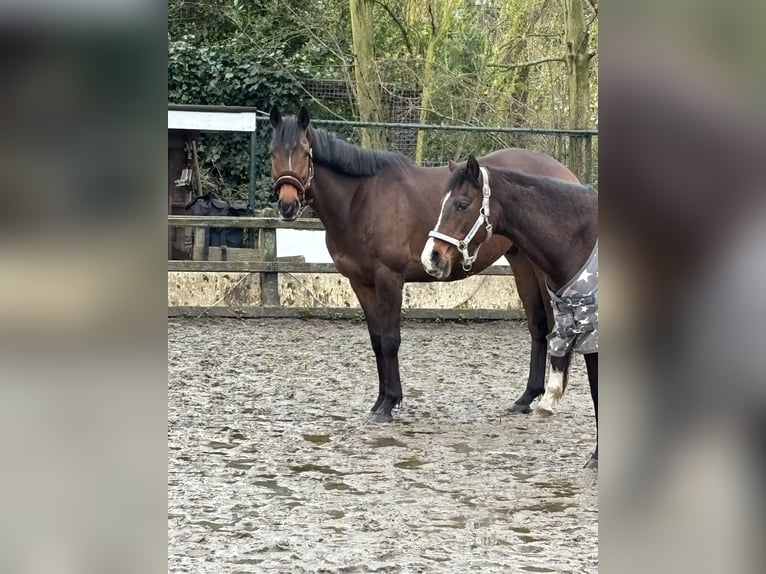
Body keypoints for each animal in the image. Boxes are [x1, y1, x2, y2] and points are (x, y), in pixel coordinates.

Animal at [270, 107, 584, 424]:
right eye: (272, 152)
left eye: (305, 152)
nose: (287, 205)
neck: (360, 200)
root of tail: (567, 176)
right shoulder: (361, 283)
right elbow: (376, 341)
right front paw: (378, 402)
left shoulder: (389, 278)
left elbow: (390, 340)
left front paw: (389, 404)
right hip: (522, 261)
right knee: (538, 325)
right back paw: (527, 397)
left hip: (545, 269)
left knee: (555, 326)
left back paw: (548, 398)